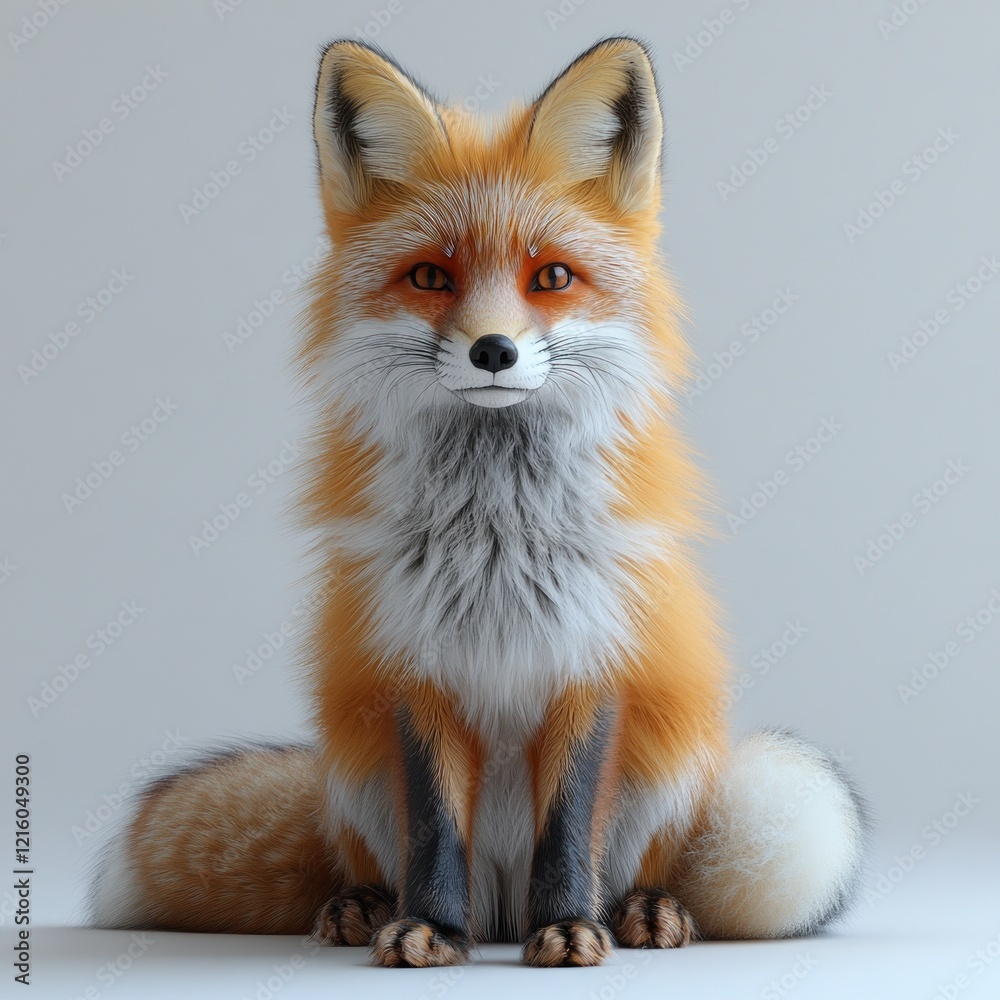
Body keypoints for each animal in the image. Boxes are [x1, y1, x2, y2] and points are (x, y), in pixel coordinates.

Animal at [88, 37, 869, 968]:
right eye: (431, 275)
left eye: (552, 277)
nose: (493, 349)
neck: (496, 534)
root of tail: (502, 899)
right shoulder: (412, 666)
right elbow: (433, 827)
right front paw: (429, 925)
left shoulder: (591, 660)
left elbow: (569, 824)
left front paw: (569, 927)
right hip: (352, 766)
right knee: (375, 856)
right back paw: (365, 907)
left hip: (671, 759)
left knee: (640, 857)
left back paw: (639, 908)